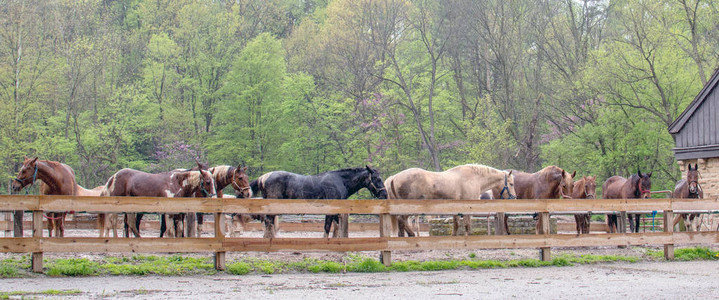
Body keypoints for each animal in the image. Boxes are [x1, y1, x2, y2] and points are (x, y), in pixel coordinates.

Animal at [252, 165, 388, 238]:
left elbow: (336, 226)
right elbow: (327, 227)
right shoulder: (329, 210)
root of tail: (263, 177)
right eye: (377, 178)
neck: (340, 181)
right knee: (269, 222)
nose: (385, 194)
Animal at [386, 164, 516, 237]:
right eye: (511, 184)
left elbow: (456, 224)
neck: (473, 178)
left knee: (402, 221)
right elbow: (467, 224)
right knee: (401, 220)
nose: (514, 197)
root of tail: (394, 177)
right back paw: (411, 235)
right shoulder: (467, 208)